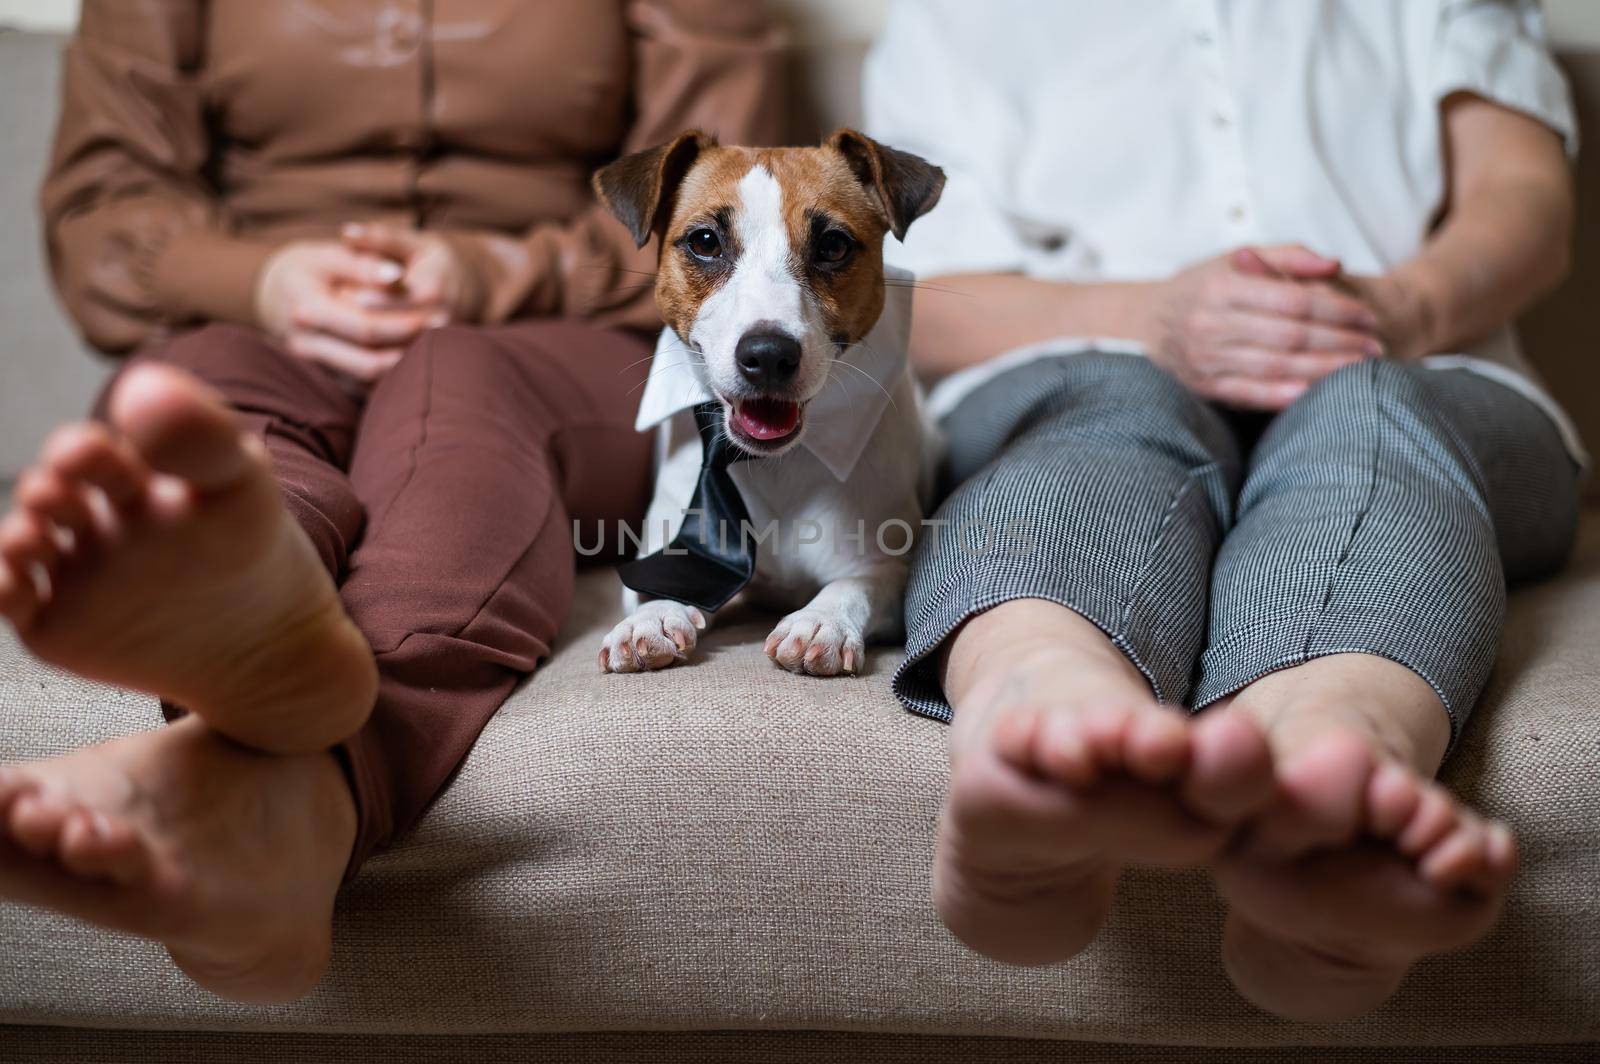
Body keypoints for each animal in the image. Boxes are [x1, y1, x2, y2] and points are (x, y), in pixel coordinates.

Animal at [595, 130, 940, 672]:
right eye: (705, 242)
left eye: (833, 245)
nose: (768, 355)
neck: (769, 463)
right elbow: (665, 581)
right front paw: (651, 617)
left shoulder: (887, 566)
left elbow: (854, 585)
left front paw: (821, 620)